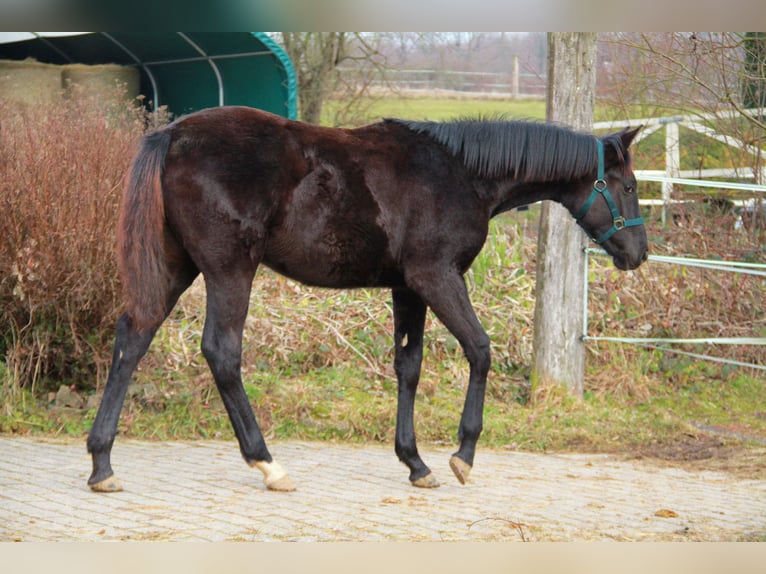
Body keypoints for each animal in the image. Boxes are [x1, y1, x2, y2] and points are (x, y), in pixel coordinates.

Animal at [87, 106, 648, 493]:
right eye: (626, 185)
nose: (638, 253)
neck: (461, 173)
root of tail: (174, 135)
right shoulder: (437, 277)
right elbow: (479, 349)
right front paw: (463, 454)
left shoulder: (408, 288)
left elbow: (409, 366)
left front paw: (415, 462)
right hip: (229, 270)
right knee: (221, 352)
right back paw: (267, 463)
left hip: (176, 267)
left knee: (133, 337)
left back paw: (101, 463)